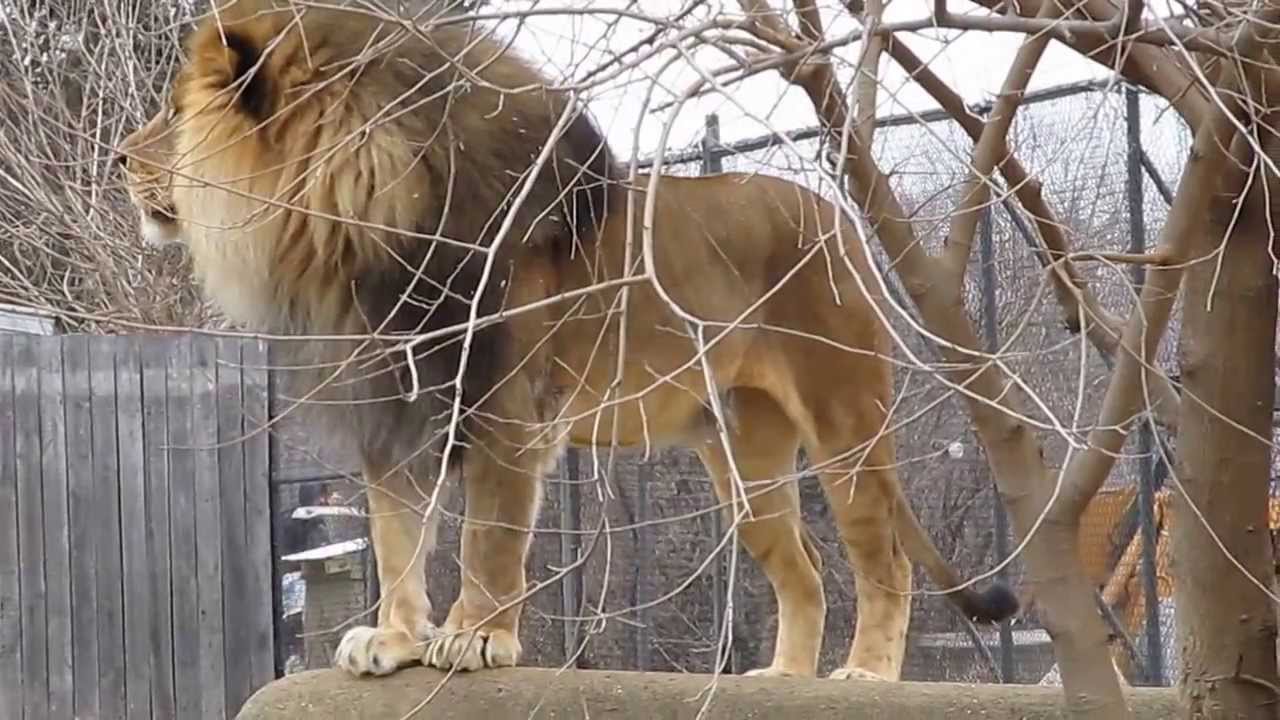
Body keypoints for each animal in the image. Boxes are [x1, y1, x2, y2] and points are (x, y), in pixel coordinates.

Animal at [117, 0, 1017, 682]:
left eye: (174, 113)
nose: (121, 159)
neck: (352, 222)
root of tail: (837, 216)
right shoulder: (396, 411)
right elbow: (397, 535)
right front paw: (396, 638)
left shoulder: (505, 406)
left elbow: (486, 535)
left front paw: (476, 636)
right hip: (743, 457)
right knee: (804, 569)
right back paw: (784, 681)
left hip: (844, 423)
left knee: (884, 559)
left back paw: (864, 675)